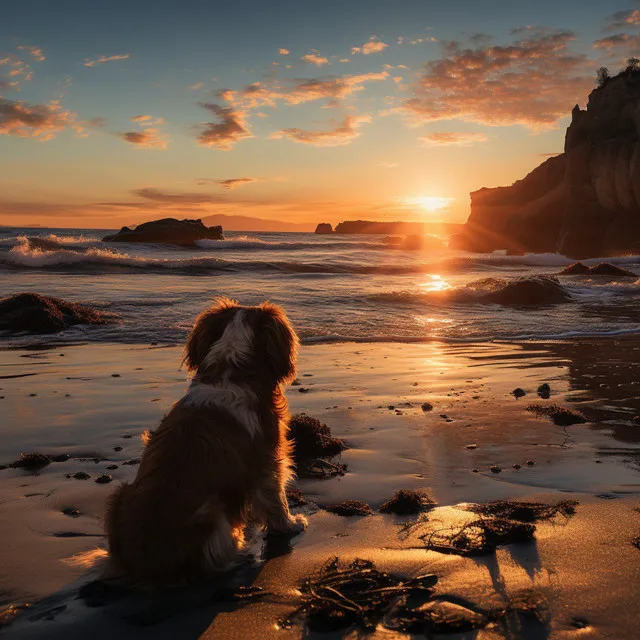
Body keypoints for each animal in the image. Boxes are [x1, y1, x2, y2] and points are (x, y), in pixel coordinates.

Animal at [103, 298, 308, 588]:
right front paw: (291, 524)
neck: (230, 371)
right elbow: (276, 499)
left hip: (119, 496)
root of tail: (146, 570)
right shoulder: (269, 461)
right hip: (214, 515)